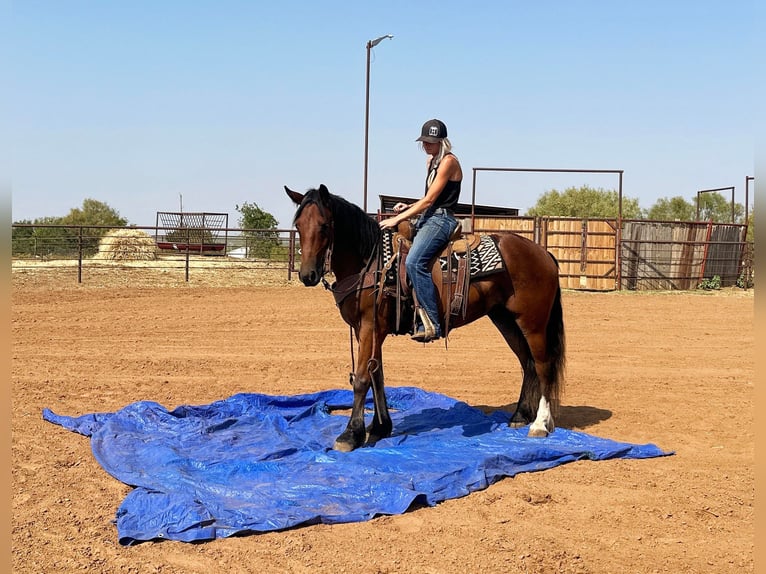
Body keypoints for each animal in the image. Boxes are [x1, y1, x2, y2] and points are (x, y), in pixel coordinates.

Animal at [284, 186, 568, 454]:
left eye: (324, 225)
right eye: (298, 226)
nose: (307, 275)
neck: (370, 262)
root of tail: (543, 254)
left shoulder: (369, 328)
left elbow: (363, 379)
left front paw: (350, 435)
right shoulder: (368, 329)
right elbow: (378, 376)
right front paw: (380, 427)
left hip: (533, 323)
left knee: (542, 365)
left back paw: (539, 424)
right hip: (505, 320)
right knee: (527, 363)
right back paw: (520, 415)